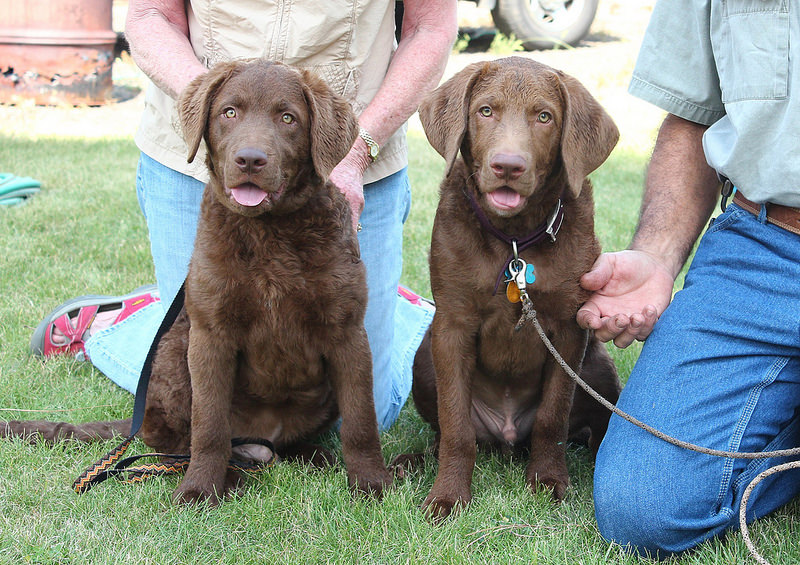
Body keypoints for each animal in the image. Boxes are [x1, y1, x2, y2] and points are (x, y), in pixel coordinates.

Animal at [4, 59, 392, 504]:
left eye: (288, 118)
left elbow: (361, 420)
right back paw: (228, 475)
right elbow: (209, 424)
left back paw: (314, 456)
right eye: (229, 112)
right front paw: (199, 490)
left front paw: (371, 482)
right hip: (174, 351)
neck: (269, 233)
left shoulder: (347, 330)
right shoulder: (210, 332)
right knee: (178, 445)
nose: (250, 159)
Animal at [406, 57, 624, 520]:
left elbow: (552, 416)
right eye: (486, 111)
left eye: (544, 117)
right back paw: (409, 462)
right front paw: (448, 495)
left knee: (590, 427)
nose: (508, 166)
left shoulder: (568, 328)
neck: (514, 241)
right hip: (423, 358)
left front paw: (548, 480)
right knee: (446, 432)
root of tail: (506, 436)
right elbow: (456, 425)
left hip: (598, 365)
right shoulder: (451, 326)